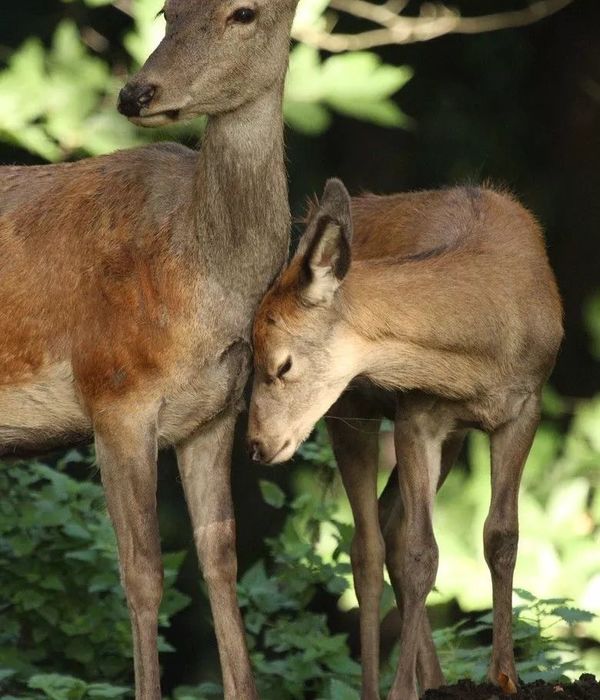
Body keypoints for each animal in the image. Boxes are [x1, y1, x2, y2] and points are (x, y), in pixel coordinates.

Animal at [0, 2, 300, 696]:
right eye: (167, 11)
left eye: (244, 12)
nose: (135, 93)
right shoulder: (115, 393)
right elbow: (142, 575)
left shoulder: (214, 415)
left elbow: (220, 560)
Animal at [247, 179, 564, 700]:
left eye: (282, 363)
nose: (257, 444)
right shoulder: (416, 414)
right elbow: (422, 553)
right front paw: (400, 691)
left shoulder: (525, 407)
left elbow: (502, 536)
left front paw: (504, 675)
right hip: (351, 409)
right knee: (369, 546)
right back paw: (380, 688)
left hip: (449, 439)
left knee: (389, 526)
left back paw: (434, 680)